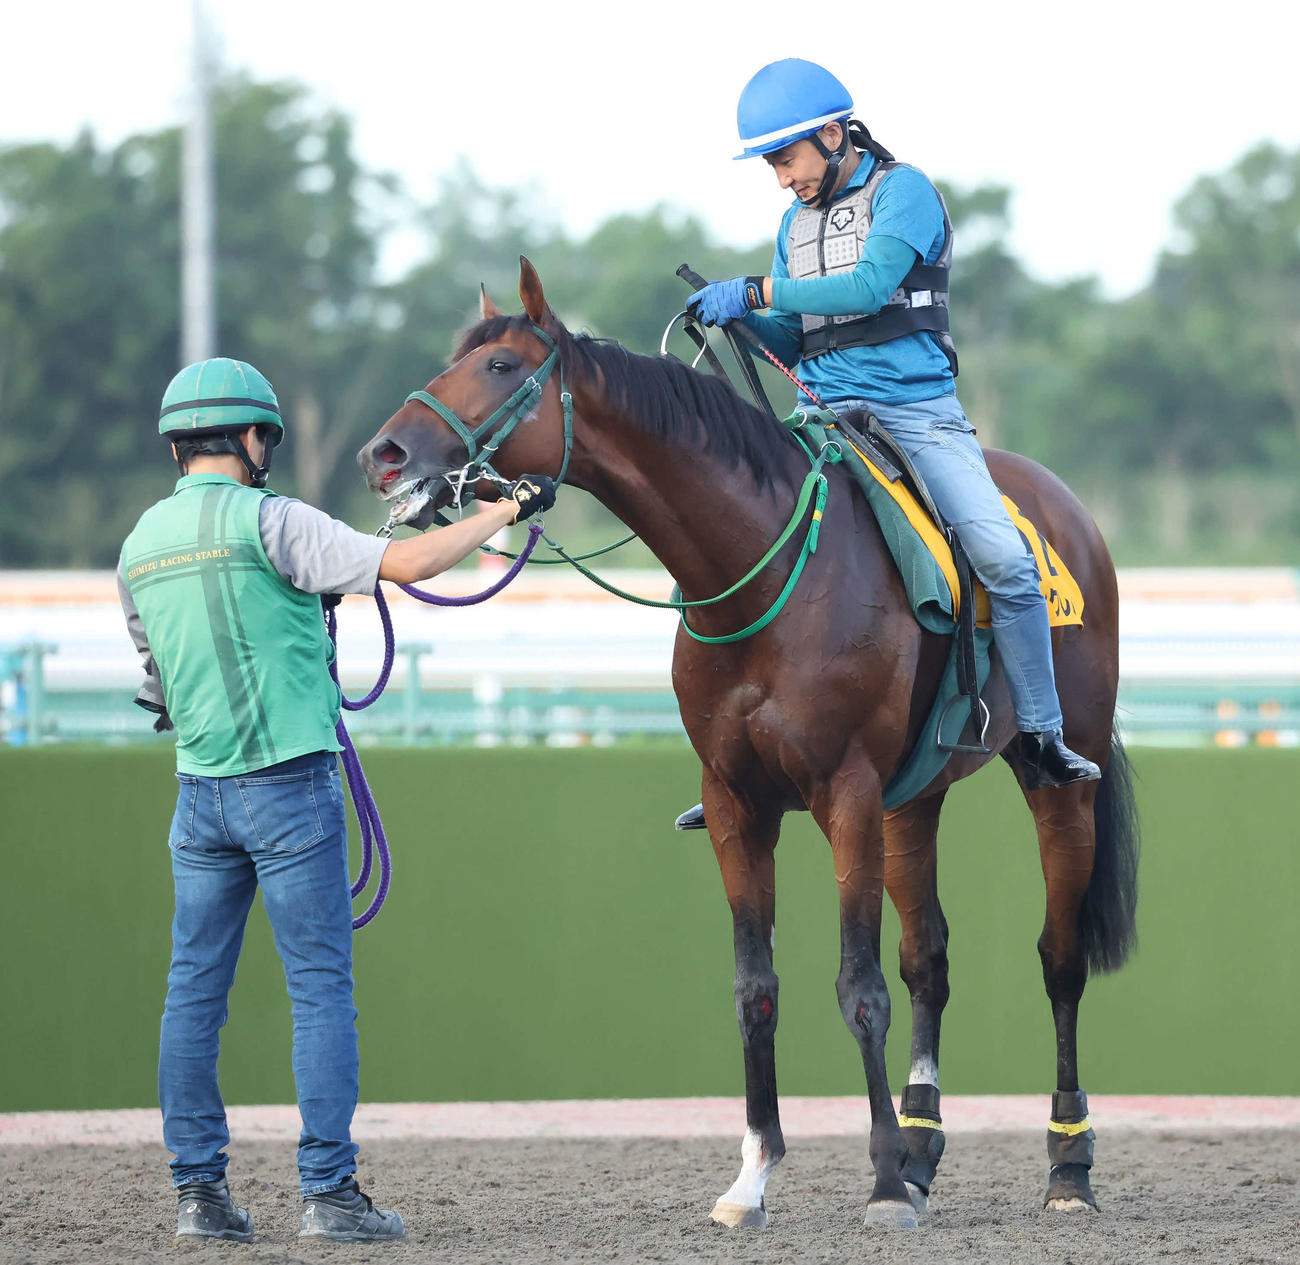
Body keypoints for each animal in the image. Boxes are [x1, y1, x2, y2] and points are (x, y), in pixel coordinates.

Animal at [357, 258, 1139, 1231]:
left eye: (501, 365)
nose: (384, 454)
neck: (767, 572)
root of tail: (1068, 511)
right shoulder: (736, 803)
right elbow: (756, 987)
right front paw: (758, 1176)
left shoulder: (845, 796)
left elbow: (859, 989)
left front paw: (882, 1183)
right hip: (913, 801)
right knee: (929, 961)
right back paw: (923, 1146)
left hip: (1057, 787)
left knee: (1059, 960)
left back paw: (1067, 1162)